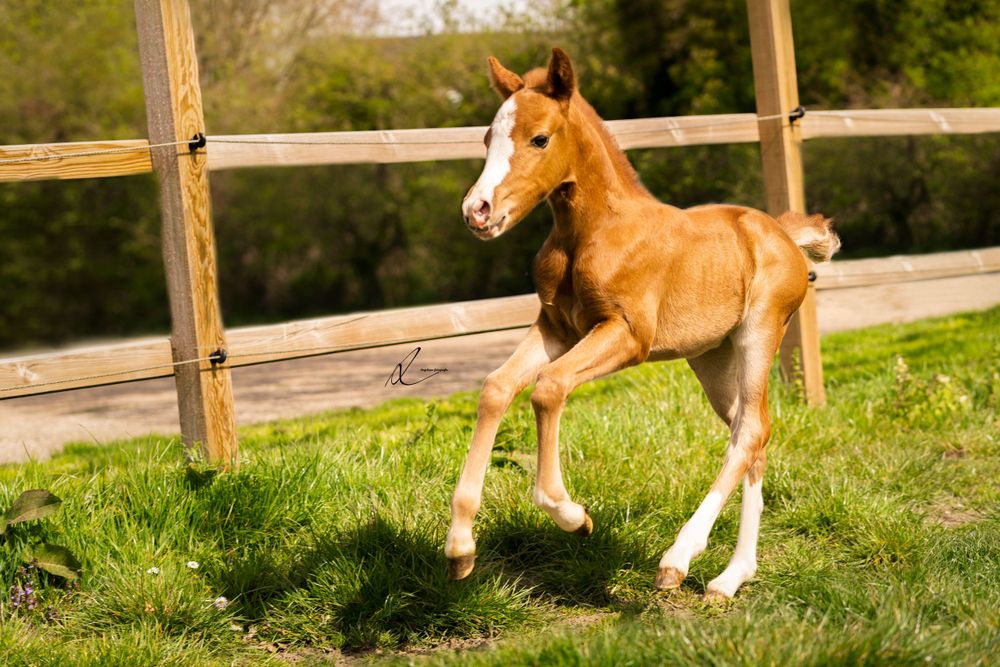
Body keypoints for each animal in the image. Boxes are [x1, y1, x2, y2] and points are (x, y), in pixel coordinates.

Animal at [445, 48, 839, 601]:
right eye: (486, 138)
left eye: (539, 138)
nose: (476, 211)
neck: (591, 232)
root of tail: (782, 232)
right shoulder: (555, 328)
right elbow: (496, 388)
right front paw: (460, 548)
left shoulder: (627, 334)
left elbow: (549, 387)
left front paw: (573, 516)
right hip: (711, 356)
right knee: (750, 434)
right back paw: (731, 577)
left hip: (760, 333)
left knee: (751, 430)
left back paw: (679, 560)